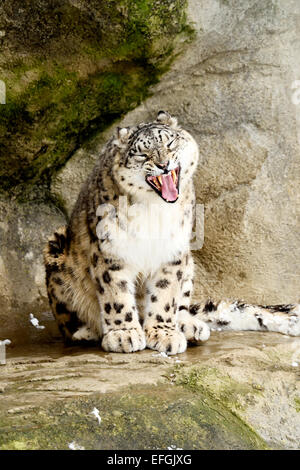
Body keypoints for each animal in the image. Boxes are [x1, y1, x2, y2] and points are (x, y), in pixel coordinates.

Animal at [44, 111, 300, 352]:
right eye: (142, 154)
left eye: (170, 143)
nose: (163, 164)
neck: (155, 209)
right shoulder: (111, 249)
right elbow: (116, 294)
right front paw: (124, 333)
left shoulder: (174, 250)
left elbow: (166, 295)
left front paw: (163, 333)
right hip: (57, 248)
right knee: (68, 322)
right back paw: (86, 331)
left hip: (189, 263)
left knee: (184, 304)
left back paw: (190, 326)